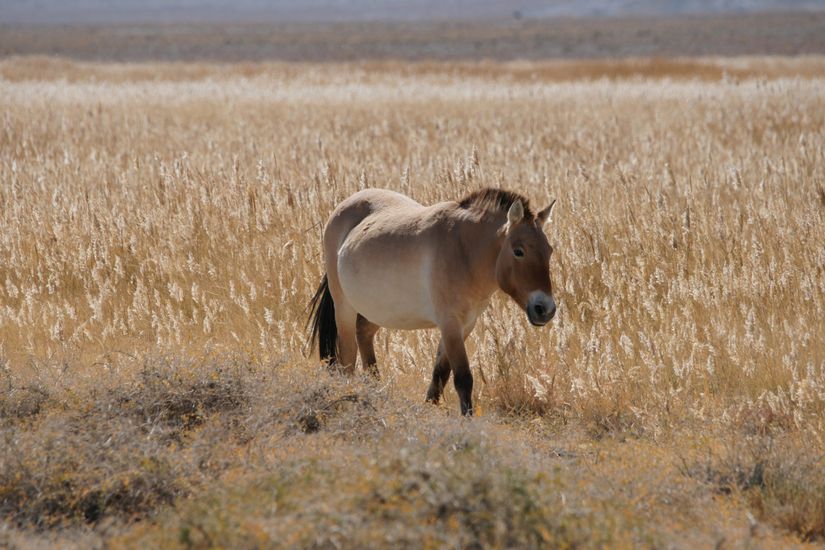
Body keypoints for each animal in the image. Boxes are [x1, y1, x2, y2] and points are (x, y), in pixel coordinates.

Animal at [310, 188, 560, 416]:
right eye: (518, 251)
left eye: (549, 251)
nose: (545, 309)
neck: (464, 252)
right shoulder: (450, 323)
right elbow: (463, 378)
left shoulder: (465, 325)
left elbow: (441, 373)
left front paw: (429, 409)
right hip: (344, 308)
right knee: (347, 359)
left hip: (378, 310)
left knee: (364, 335)